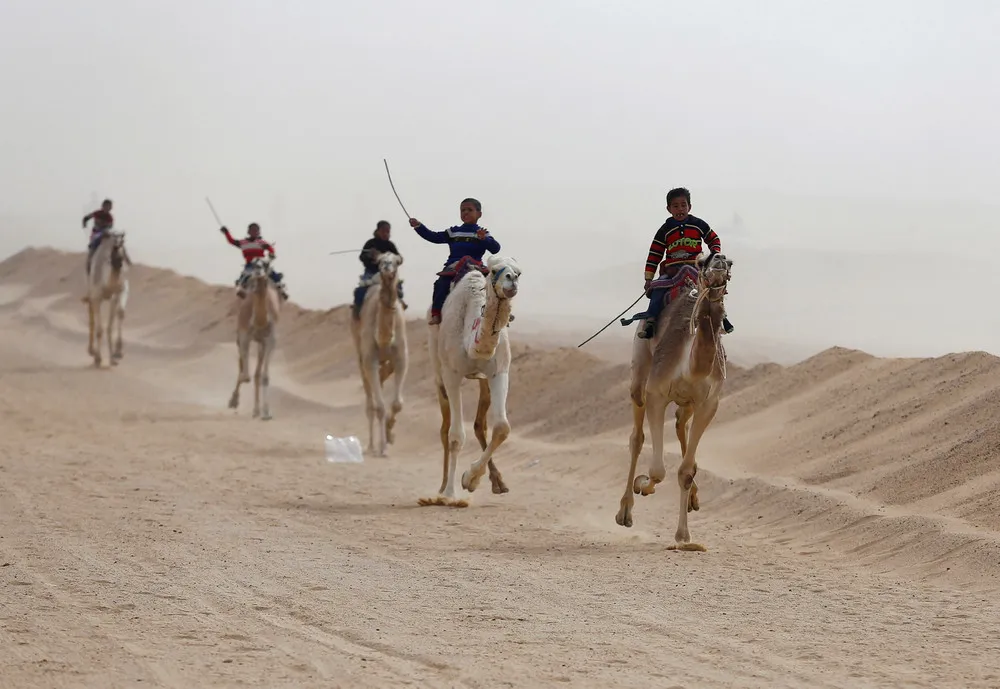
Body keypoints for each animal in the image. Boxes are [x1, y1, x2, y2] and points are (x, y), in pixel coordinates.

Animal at [82, 230, 131, 368]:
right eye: (114, 247)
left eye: (123, 243)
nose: (119, 262)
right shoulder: (97, 297)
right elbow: (100, 329)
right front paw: (99, 358)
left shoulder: (120, 291)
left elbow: (118, 316)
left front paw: (117, 354)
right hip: (91, 294)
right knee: (92, 319)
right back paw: (92, 352)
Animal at [229, 255, 280, 420]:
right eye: (245, 273)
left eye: (264, 267)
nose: (240, 292)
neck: (260, 321)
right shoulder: (244, 336)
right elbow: (245, 374)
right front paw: (233, 401)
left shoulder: (270, 341)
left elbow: (264, 377)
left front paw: (267, 412)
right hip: (240, 337)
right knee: (242, 367)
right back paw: (235, 401)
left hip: (260, 344)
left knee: (257, 374)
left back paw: (256, 410)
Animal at [350, 249, 408, 456]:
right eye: (381, 260)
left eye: (396, 261)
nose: (386, 267)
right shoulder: (370, 360)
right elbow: (380, 406)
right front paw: (382, 447)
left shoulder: (401, 358)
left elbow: (397, 403)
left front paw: (391, 436)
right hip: (360, 354)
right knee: (370, 402)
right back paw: (370, 445)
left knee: (382, 380)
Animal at [418, 253, 524, 506]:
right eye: (494, 270)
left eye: (519, 272)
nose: (512, 280)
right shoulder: (452, 374)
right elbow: (456, 436)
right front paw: (450, 493)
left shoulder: (499, 371)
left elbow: (502, 427)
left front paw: (470, 478)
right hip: (438, 370)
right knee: (445, 428)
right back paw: (441, 488)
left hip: (482, 380)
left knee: (479, 424)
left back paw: (497, 482)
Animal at [612, 250, 732, 552]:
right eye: (703, 262)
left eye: (730, 264)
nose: (719, 260)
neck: (691, 366)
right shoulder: (657, 393)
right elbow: (657, 469)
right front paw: (642, 484)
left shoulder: (709, 404)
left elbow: (686, 471)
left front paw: (683, 536)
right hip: (640, 369)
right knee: (637, 436)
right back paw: (625, 511)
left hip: (688, 403)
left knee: (680, 425)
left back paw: (694, 498)